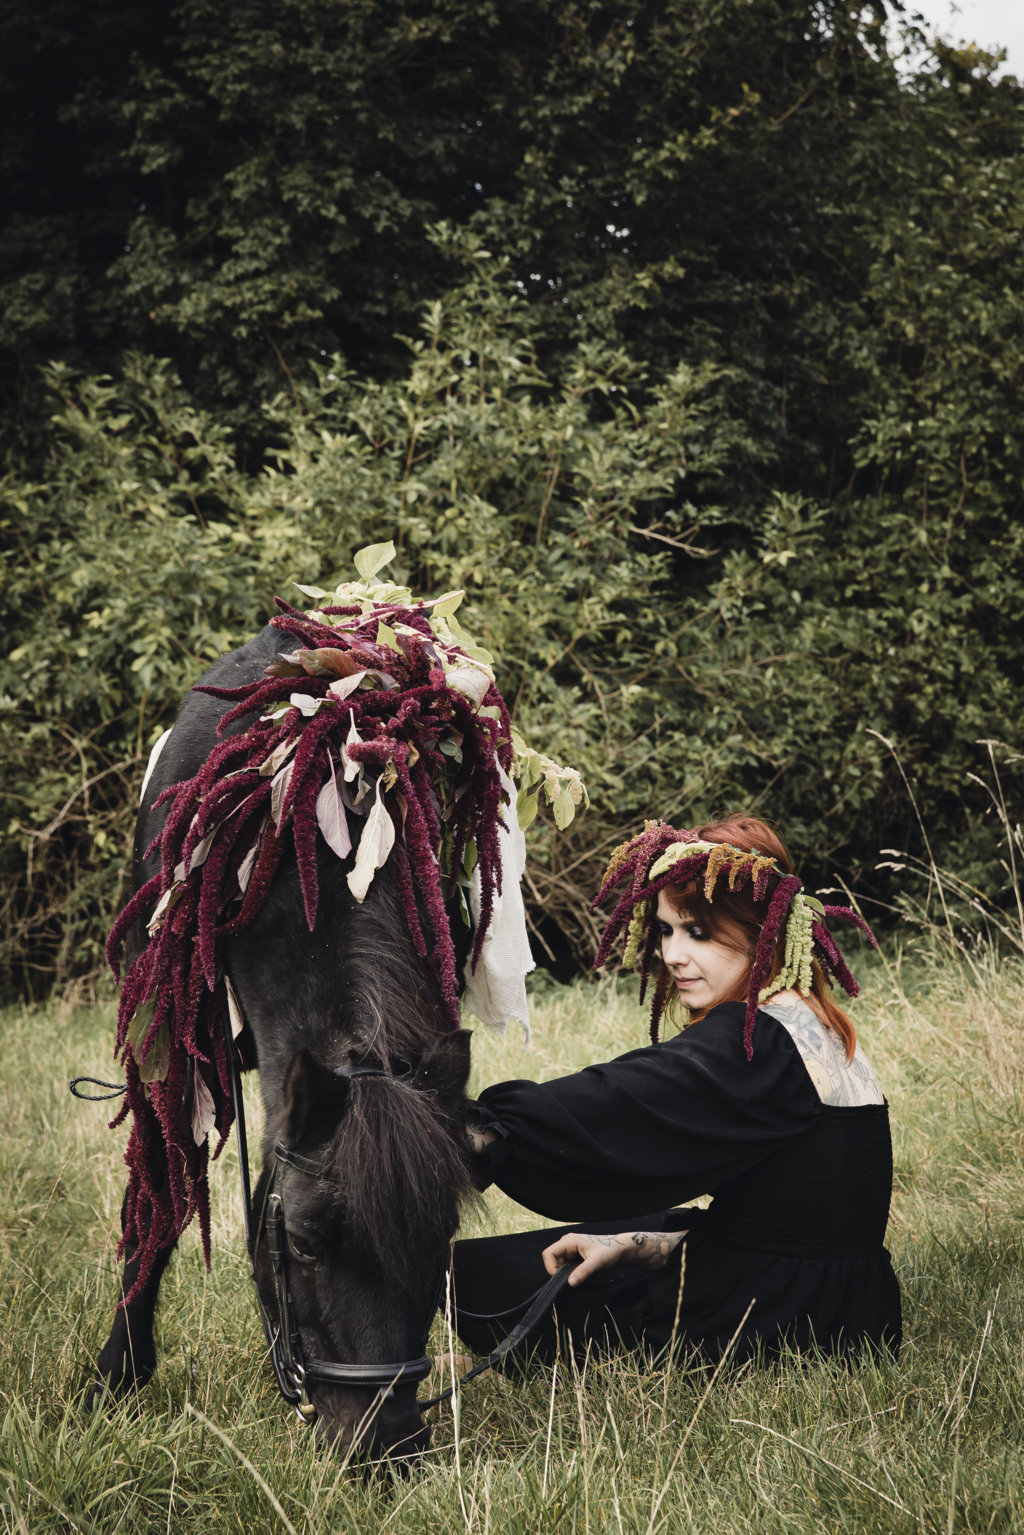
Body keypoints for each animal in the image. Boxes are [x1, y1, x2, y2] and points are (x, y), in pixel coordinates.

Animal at [92, 580, 549, 1467]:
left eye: (439, 1240)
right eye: (304, 1242)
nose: (388, 1445)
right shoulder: (166, 1034)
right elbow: (160, 1199)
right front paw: (117, 1374)